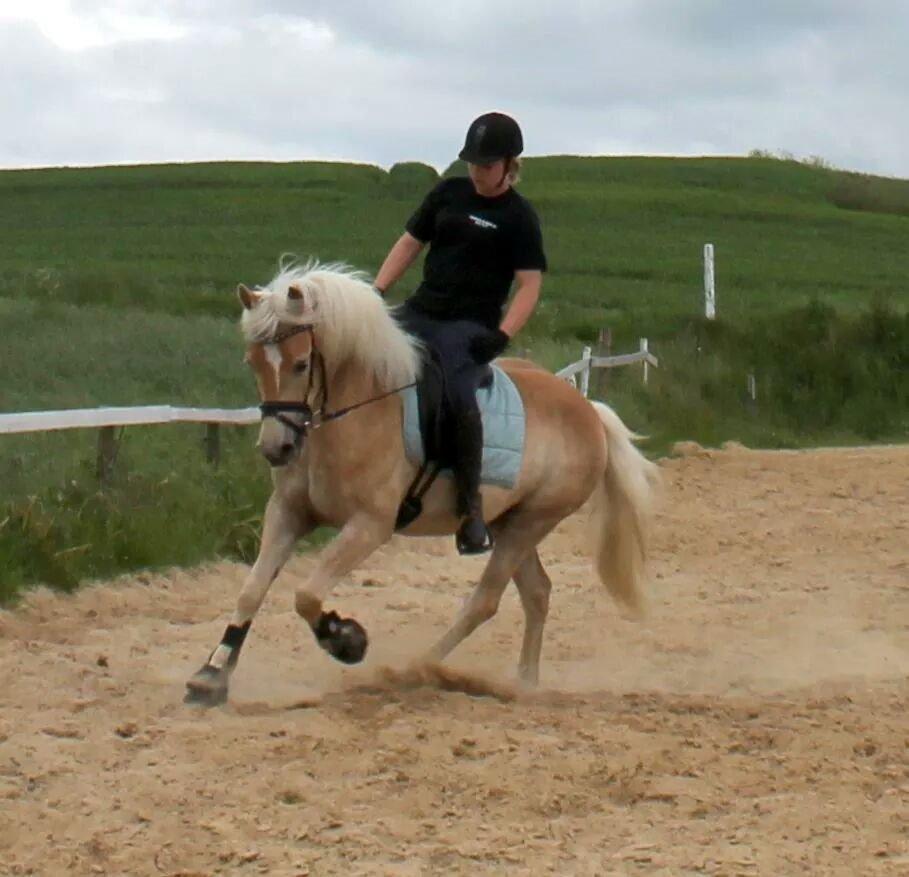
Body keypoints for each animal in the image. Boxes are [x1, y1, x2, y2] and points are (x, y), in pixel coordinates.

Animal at [184, 260, 656, 704]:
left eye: (301, 364)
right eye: (253, 362)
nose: (276, 448)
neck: (357, 411)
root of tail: (589, 410)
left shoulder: (369, 526)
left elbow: (306, 595)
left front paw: (347, 640)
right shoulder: (288, 512)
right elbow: (251, 590)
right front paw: (211, 677)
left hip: (532, 522)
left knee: (485, 600)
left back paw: (417, 669)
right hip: (510, 521)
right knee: (537, 592)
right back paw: (523, 683)